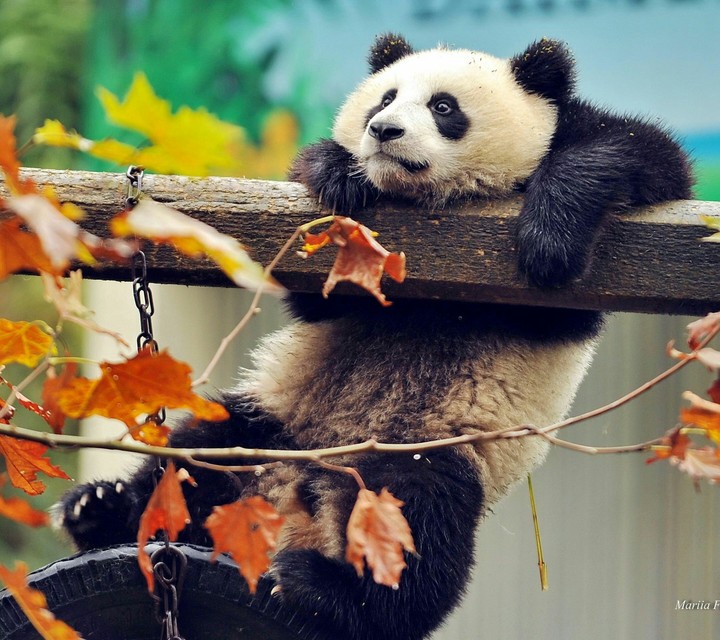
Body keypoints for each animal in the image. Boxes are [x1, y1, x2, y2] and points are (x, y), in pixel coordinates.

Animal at [56, 34, 692, 640]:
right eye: (383, 98)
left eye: (443, 106)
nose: (383, 130)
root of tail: (300, 495)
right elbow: (319, 292)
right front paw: (338, 172)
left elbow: (639, 157)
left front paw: (550, 237)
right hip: (275, 421)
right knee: (200, 454)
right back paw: (101, 509)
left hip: (430, 446)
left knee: (419, 524)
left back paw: (328, 591)